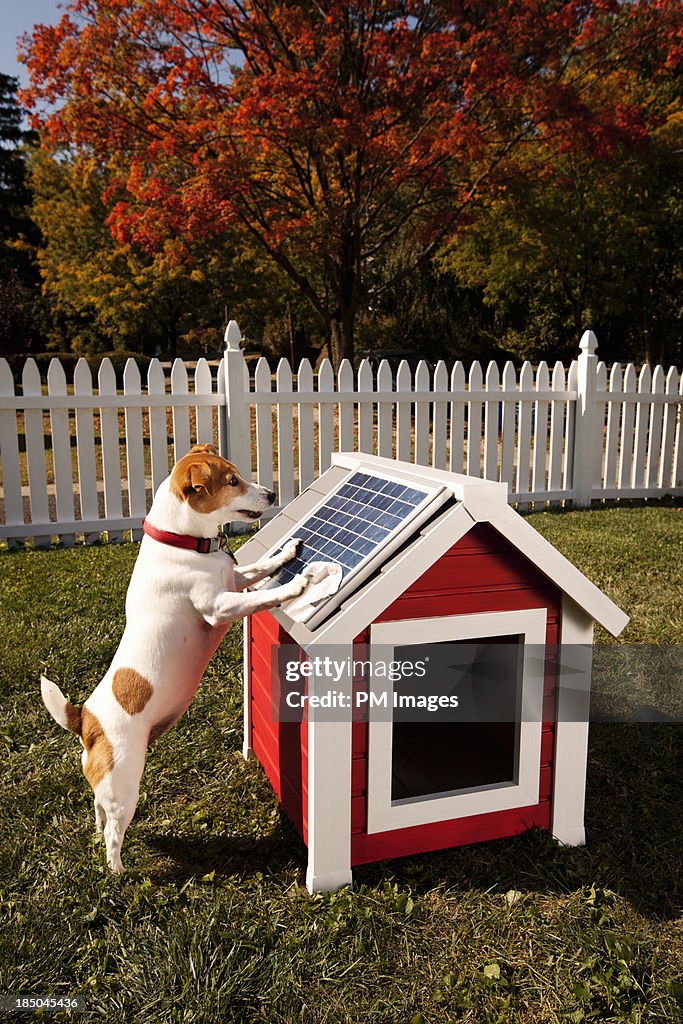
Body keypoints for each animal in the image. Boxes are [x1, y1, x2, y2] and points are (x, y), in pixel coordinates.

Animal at [40, 442, 313, 872]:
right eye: (232, 481)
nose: (271, 495)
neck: (183, 543)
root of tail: (84, 719)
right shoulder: (219, 606)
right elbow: (263, 595)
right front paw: (298, 584)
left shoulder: (234, 578)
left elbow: (260, 567)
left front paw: (288, 552)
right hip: (125, 786)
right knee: (112, 833)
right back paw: (118, 872)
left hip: (106, 786)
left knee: (98, 814)